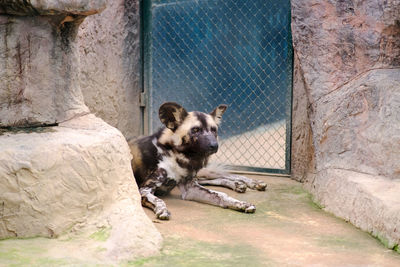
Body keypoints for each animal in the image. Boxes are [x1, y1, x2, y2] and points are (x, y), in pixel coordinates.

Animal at [128, 102, 266, 220]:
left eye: (214, 130)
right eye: (195, 130)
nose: (214, 145)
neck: (179, 156)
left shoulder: (190, 187)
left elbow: (220, 195)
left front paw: (240, 203)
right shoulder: (144, 189)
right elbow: (158, 200)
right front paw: (162, 210)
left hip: (200, 173)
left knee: (224, 175)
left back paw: (250, 183)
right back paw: (238, 184)